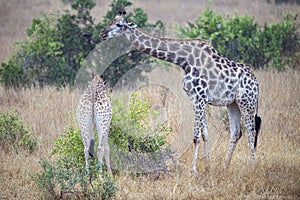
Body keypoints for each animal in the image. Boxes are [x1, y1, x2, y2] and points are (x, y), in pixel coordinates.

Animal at [101, 10, 260, 173]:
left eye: (119, 24)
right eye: (110, 21)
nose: (103, 34)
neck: (184, 60)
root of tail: (256, 83)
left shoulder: (199, 97)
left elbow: (196, 136)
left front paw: (194, 170)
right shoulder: (196, 98)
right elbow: (205, 133)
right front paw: (208, 166)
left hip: (247, 102)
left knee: (251, 132)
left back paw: (251, 167)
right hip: (232, 104)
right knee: (236, 133)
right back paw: (226, 165)